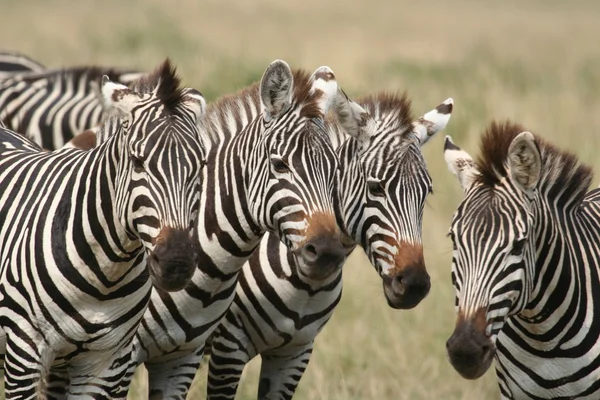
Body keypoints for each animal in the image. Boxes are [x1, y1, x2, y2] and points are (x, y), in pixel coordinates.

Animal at [207, 92, 454, 398]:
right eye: (375, 188)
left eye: (426, 192)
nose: (414, 284)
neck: (306, 285)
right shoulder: (228, 344)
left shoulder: (295, 352)